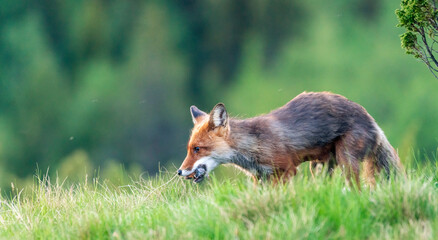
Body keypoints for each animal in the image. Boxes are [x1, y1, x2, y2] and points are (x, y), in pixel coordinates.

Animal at [177, 92, 400, 188]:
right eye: (189, 149)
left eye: (197, 149)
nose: (179, 171)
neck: (253, 146)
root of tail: (372, 121)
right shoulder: (260, 178)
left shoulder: (286, 171)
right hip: (320, 168)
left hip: (346, 161)